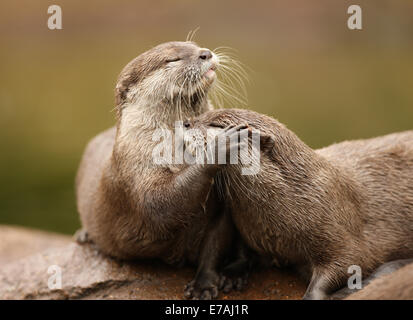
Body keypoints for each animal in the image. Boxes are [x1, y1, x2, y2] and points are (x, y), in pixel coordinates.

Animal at [75, 42, 248, 298]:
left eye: (194, 46)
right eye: (172, 60)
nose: (205, 53)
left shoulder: (220, 207)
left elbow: (214, 244)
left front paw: (204, 283)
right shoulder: (135, 171)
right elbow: (159, 205)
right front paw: (219, 146)